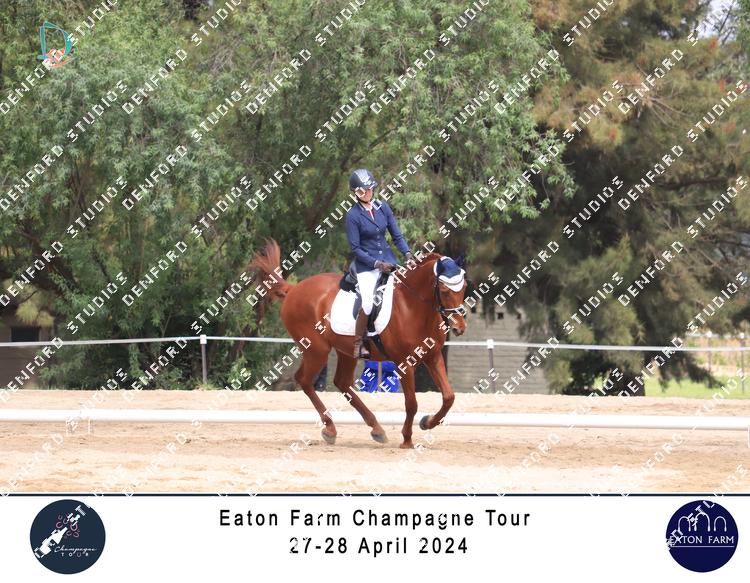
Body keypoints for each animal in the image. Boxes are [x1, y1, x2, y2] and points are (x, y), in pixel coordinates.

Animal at [248, 239, 468, 448]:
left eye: (464, 287)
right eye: (444, 290)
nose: (459, 327)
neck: (413, 306)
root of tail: (294, 288)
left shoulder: (433, 356)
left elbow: (449, 397)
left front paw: (427, 422)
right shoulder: (404, 363)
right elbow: (411, 403)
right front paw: (406, 440)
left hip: (346, 351)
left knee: (341, 382)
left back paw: (376, 429)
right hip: (317, 350)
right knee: (304, 379)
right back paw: (330, 429)